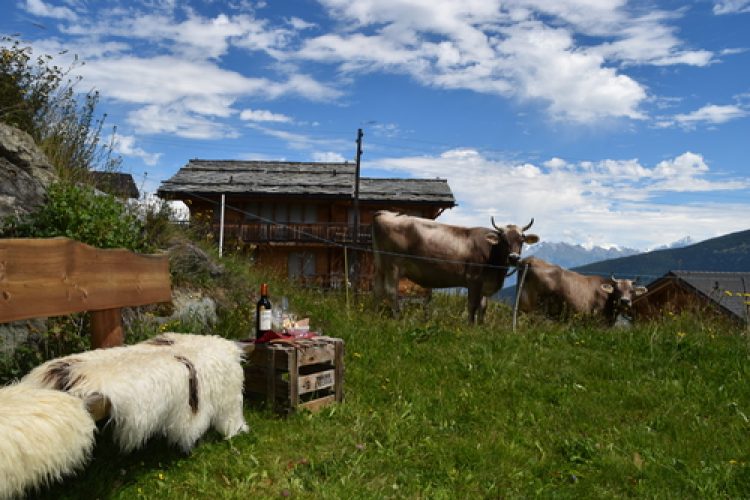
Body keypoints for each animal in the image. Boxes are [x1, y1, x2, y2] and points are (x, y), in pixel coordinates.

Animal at [372, 208, 536, 322]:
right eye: (503, 240)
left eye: (522, 239)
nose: (514, 258)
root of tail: (384, 213)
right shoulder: (473, 279)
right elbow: (472, 306)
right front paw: (470, 327)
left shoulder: (484, 284)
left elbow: (483, 307)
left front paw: (481, 327)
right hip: (393, 265)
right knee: (391, 291)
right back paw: (398, 319)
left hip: (381, 266)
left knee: (378, 290)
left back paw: (372, 316)